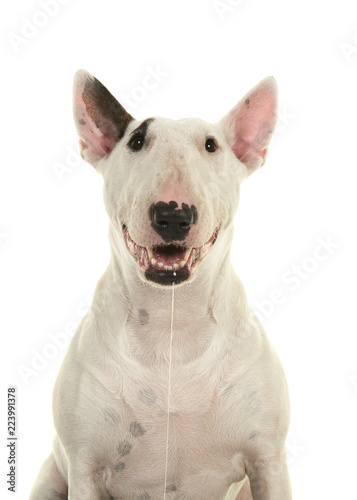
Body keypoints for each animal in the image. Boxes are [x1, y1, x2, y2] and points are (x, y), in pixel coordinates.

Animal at [30, 70, 290, 500]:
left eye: (211, 145)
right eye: (137, 141)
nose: (173, 215)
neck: (172, 324)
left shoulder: (267, 460)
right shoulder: (84, 466)